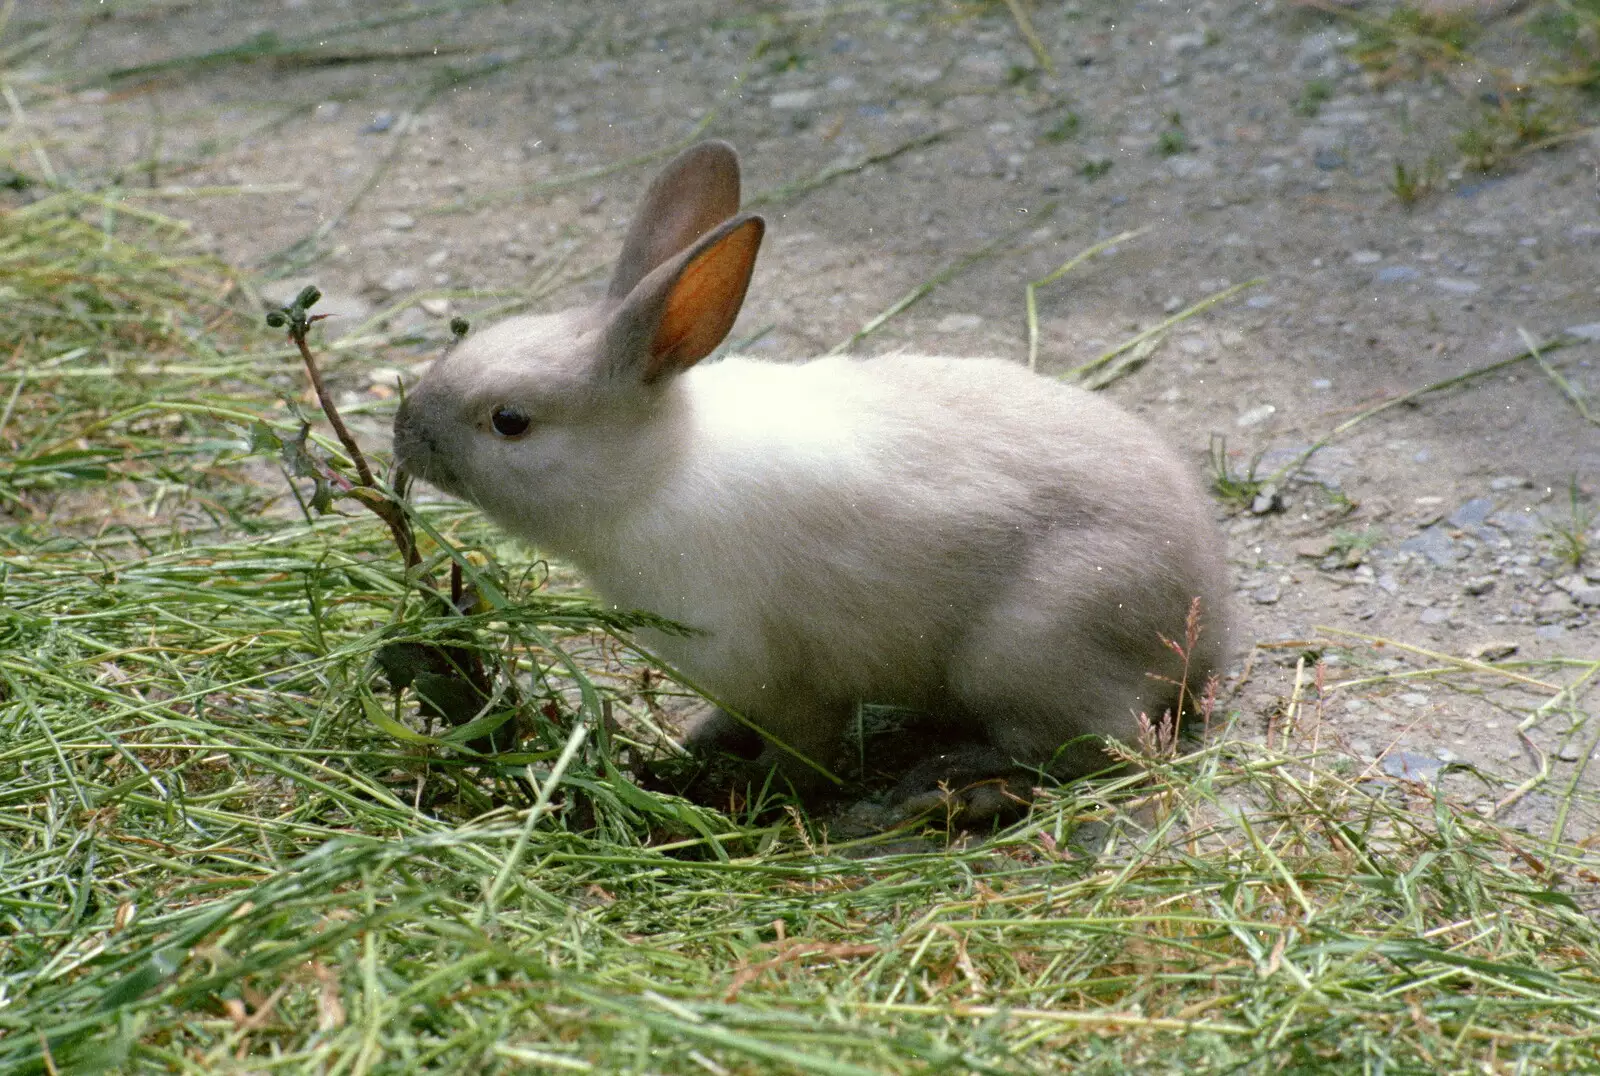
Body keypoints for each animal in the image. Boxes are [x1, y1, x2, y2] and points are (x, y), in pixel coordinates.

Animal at [393, 140, 1228, 797]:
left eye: (510, 421)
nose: (402, 436)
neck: (657, 473)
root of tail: (1208, 625)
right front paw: (700, 743)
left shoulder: (781, 674)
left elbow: (803, 749)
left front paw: (759, 790)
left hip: (1020, 653)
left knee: (1098, 747)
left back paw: (945, 782)